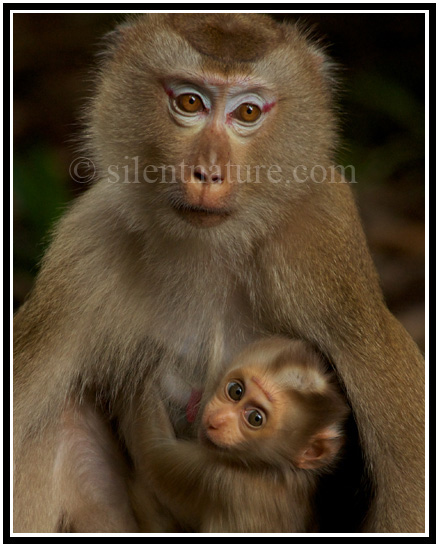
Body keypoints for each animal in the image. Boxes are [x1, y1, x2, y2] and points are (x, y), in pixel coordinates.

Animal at [143, 336, 348, 532]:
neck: (270, 468)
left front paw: (149, 370)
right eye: (236, 391)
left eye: (255, 418)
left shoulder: (217, 477)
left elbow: (153, 451)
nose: (217, 420)